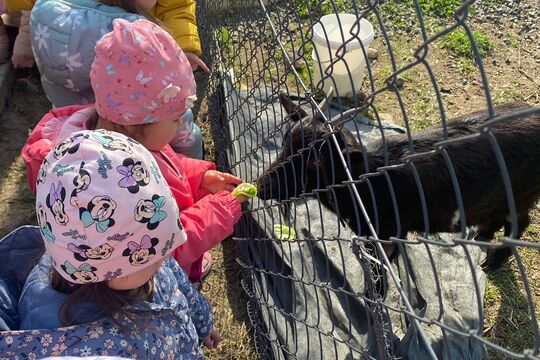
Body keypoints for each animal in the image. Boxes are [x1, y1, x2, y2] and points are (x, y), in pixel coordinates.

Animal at [258, 95, 540, 270]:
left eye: (316, 162)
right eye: (285, 139)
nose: (261, 185)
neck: (365, 184)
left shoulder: (388, 234)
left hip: (522, 195)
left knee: (520, 223)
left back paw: (492, 262)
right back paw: (482, 235)